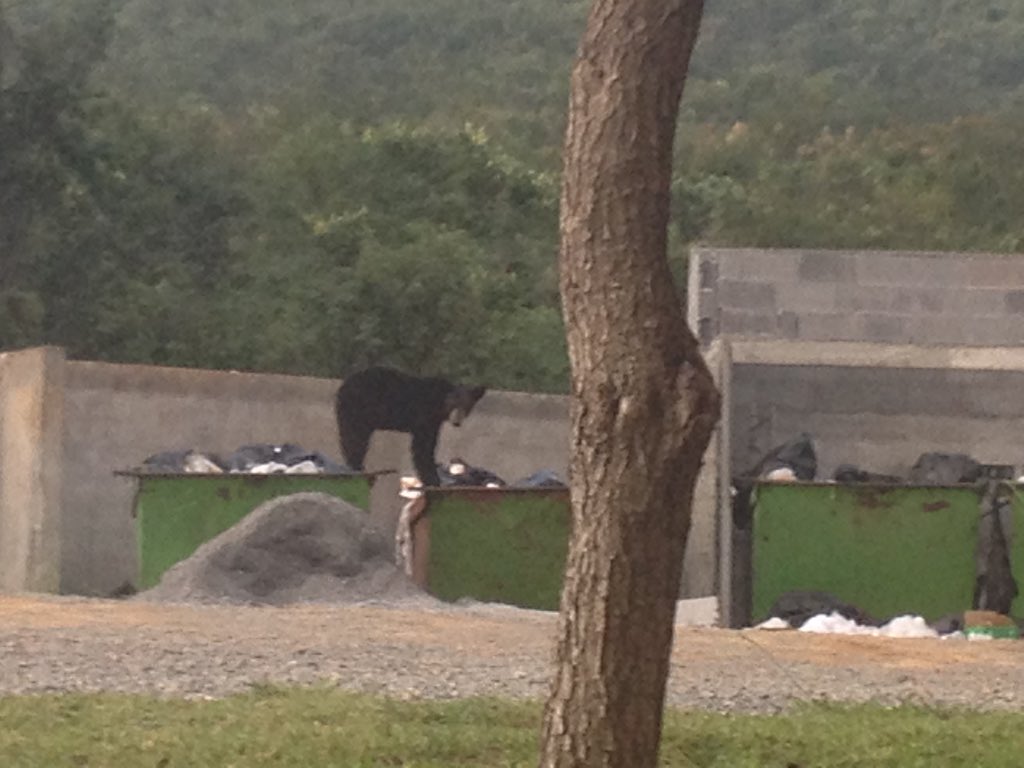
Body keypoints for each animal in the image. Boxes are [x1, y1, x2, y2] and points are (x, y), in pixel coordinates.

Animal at [334, 366, 487, 486]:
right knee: (356, 437)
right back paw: (357, 466)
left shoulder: (434, 421)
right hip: (358, 408)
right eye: (453, 405)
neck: (438, 404)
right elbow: (422, 448)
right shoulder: (425, 415)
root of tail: (343, 386)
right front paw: (433, 479)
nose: (456, 422)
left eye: (466, 406)